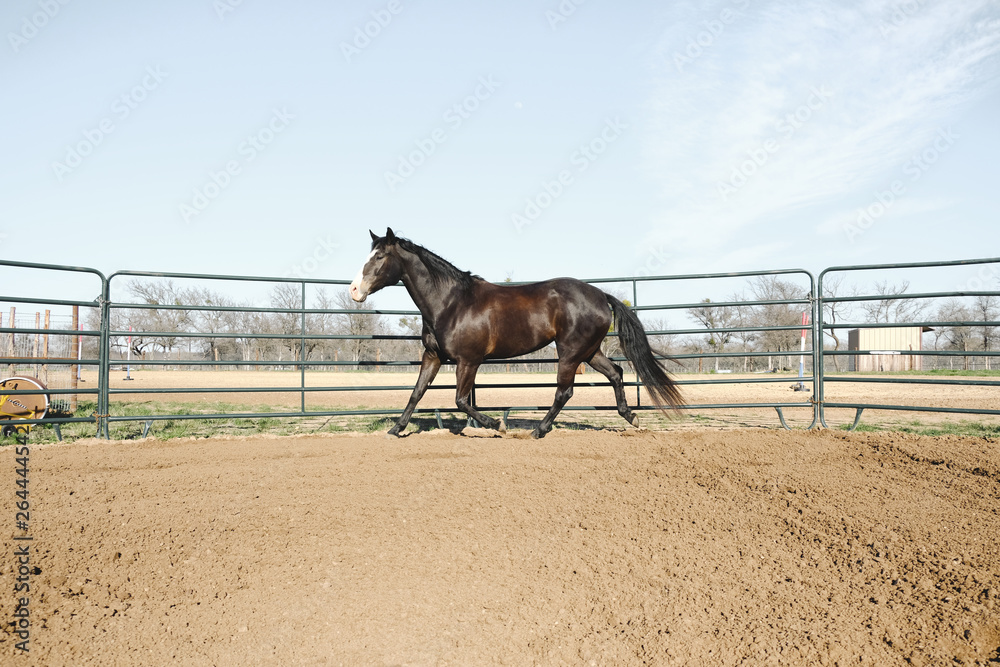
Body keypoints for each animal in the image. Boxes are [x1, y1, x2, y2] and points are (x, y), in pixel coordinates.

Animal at [349, 228, 683, 438]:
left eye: (379, 257)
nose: (354, 290)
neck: (451, 302)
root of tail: (601, 295)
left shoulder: (468, 361)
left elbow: (461, 400)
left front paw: (498, 424)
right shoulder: (433, 356)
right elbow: (416, 392)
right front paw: (396, 429)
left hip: (570, 353)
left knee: (565, 391)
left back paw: (538, 430)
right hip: (589, 351)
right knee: (615, 373)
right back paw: (632, 417)